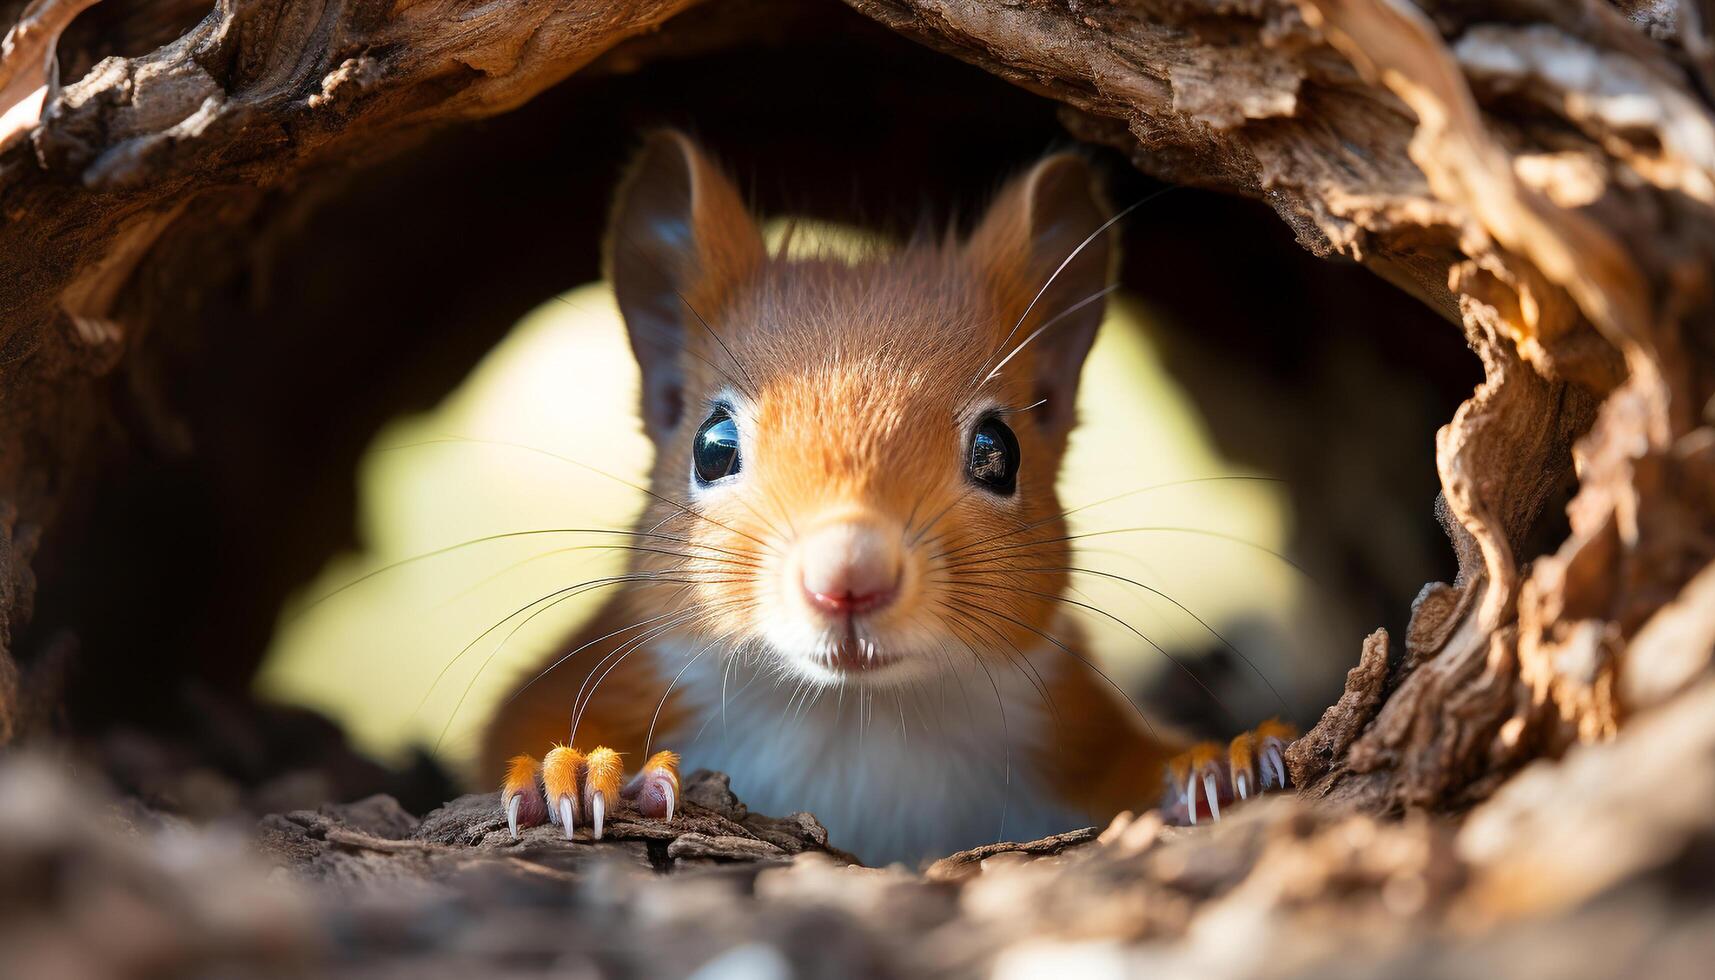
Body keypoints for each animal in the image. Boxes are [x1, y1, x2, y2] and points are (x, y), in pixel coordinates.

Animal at [480, 130, 1289, 865]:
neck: (853, 715)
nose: (849, 575)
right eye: (712, 446)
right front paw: (582, 771)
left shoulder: (1068, 730)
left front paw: (1219, 765)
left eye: (999, 451)